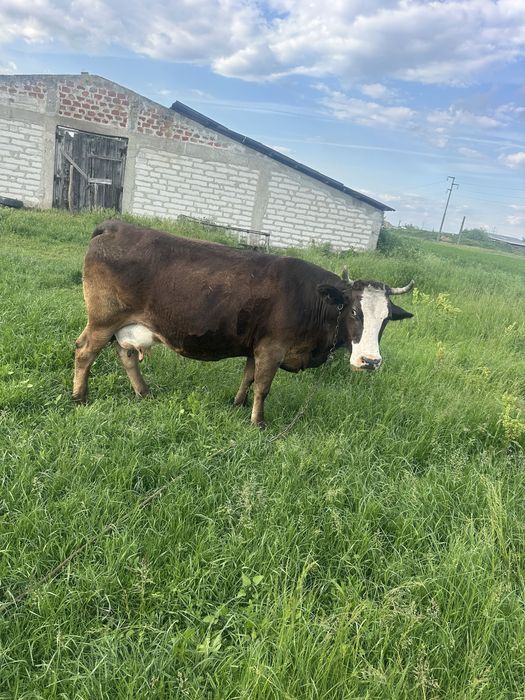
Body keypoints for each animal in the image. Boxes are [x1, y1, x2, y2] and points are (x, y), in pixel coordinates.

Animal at [73, 221, 414, 427]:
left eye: (385, 320)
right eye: (354, 311)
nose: (370, 361)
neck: (310, 298)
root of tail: (114, 226)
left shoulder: (256, 345)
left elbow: (248, 377)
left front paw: (237, 405)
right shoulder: (273, 347)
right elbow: (263, 385)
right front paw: (257, 422)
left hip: (124, 326)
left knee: (126, 355)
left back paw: (143, 392)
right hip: (103, 320)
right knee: (84, 352)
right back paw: (80, 397)